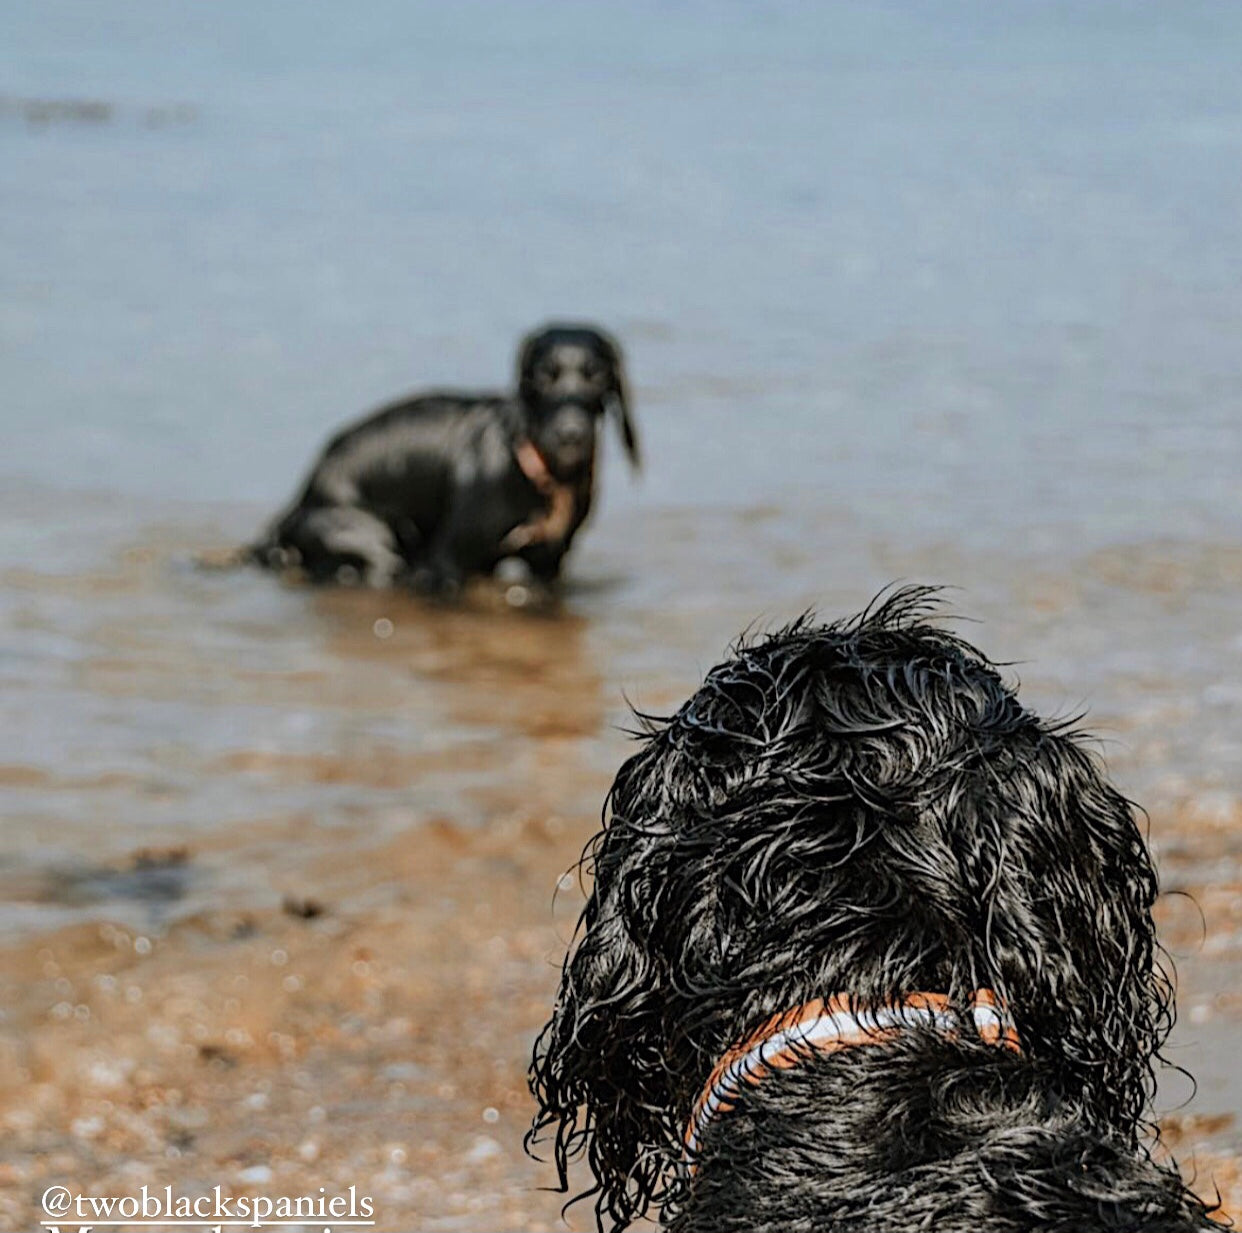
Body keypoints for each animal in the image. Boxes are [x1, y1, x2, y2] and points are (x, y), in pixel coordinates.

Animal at [250, 322, 640, 591]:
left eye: (598, 376)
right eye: (542, 377)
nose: (570, 434)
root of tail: (293, 509)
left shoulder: (549, 562)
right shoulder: (444, 564)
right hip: (372, 539)